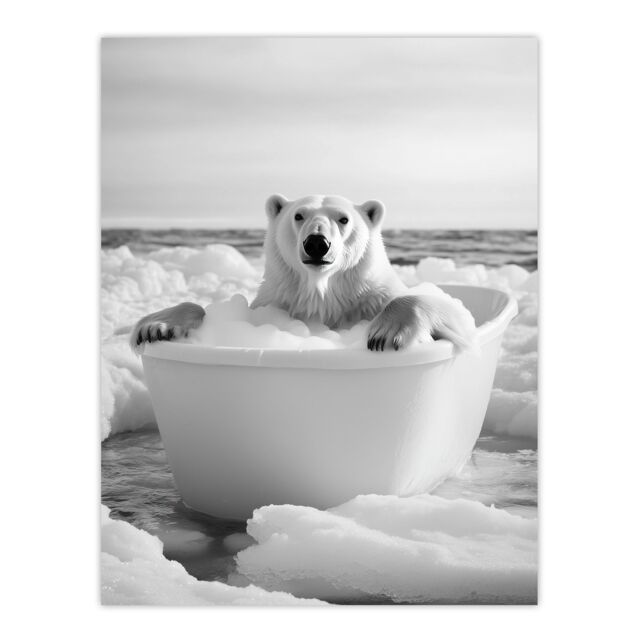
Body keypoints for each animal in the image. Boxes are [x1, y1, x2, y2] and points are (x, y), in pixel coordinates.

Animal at [131, 194, 476, 352]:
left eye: (343, 219)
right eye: (298, 215)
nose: (316, 243)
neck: (322, 294)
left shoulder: (372, 298)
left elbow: (458, 314)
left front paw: (385, 334)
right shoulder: (274, 305)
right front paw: (156, 327)